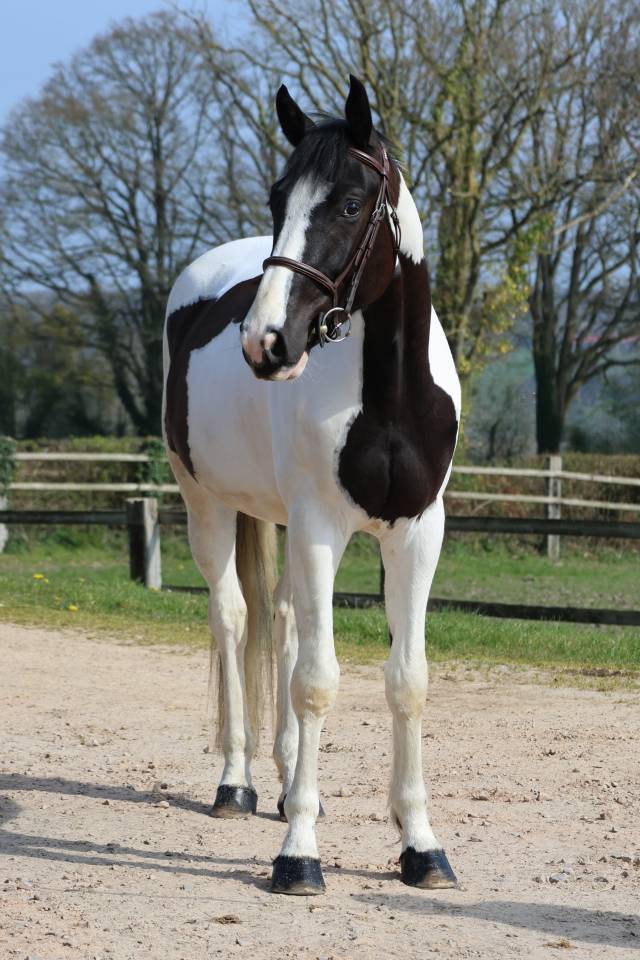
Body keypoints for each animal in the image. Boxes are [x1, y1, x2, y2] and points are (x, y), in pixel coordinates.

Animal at [163, 75, 461, 896]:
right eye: (278, 199)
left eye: (351, 205)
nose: (267, 342)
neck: (388, 393)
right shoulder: (322, 527)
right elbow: (319, 680)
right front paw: (298, 853)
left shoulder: (417, 531)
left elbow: (406, 679)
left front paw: (420, 845)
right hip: (205, 504)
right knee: (235, 620)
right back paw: (238, 783)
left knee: (287, 622)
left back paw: (290, 776)